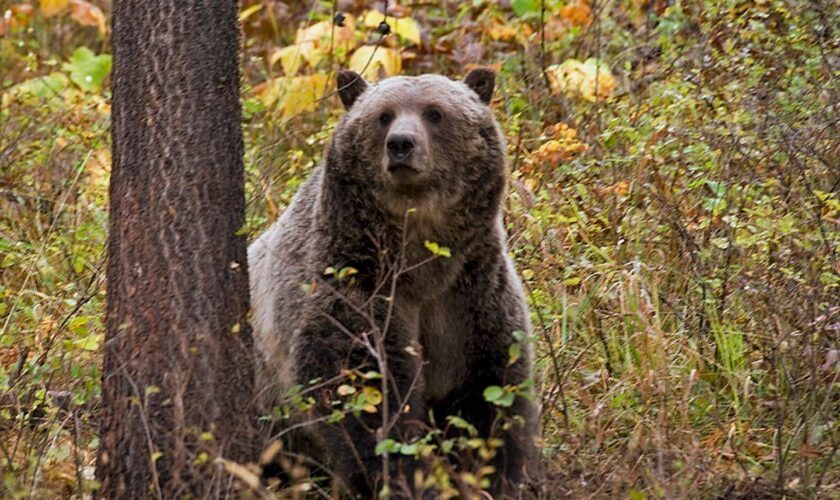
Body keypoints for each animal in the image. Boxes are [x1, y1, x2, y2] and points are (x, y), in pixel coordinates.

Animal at [249, 68, 540, 498]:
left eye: (434, 113)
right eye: (383, 115)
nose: (401, 144)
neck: (420, 260)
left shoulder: (471, 294)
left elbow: (491, 392)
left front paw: (492, 475)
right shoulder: (356, 283)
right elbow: (365, 392)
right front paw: (403, 476)